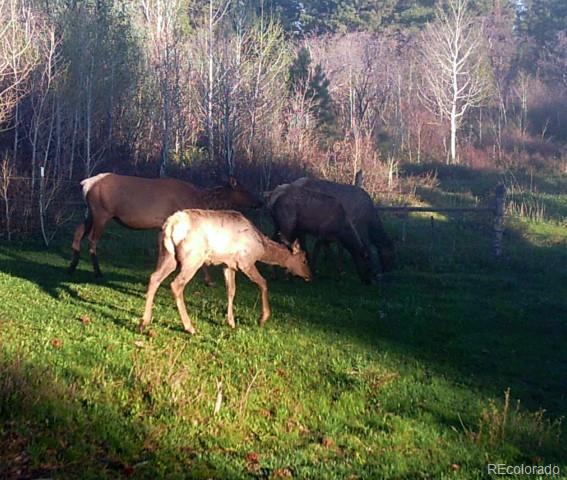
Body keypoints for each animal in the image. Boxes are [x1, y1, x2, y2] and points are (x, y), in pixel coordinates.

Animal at [67, 172, 262, 280]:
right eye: (244, 190)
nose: (259, 202)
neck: (199, 200)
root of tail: (86, 184)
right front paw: (207, 280)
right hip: (102, 212)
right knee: (92, 239)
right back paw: (97, 271)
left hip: (90, 211)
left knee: (78, 231)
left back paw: (73, 265)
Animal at [140, 210, 312, 334]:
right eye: (304, 259)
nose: (309, 276)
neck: (261, 249)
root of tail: (170, 226)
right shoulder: (245, 261)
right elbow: (263, 283)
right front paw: (262, 318)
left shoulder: (228, 264)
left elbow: (231, 290)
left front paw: (231, 322)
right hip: (192, 258)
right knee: (176, 284)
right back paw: (190, 327)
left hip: (168, 256)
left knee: (154, 277)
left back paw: (144, 322)